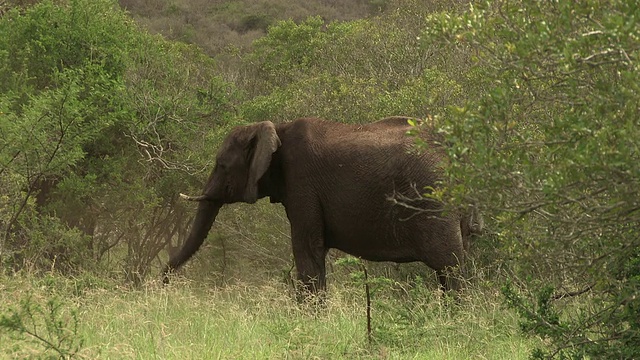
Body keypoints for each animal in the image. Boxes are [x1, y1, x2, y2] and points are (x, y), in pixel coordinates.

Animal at [165, 117, 476, 292]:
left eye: (222, 165)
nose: (162, 282)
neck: (276, 128)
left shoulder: (303, 184)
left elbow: (307, 250)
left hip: (434, 198)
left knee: (450, 266)